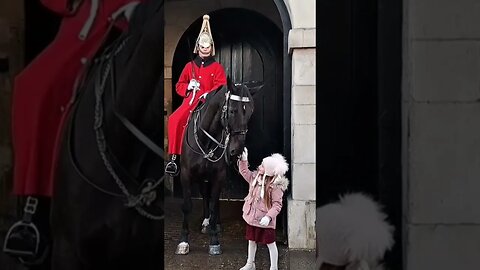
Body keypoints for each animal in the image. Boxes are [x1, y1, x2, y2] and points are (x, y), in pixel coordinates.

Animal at [173, 78, 253, 255]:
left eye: (251, 112)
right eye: (232, 111)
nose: (237, 150)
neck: (206, 139)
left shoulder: (218, 176)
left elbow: (214, 204)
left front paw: (214, 240)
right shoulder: (186, 175)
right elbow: (187, 206)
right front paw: (183, 241)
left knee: (212, 200)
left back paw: (213, 224)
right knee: (204, 194)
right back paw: (205, 221)